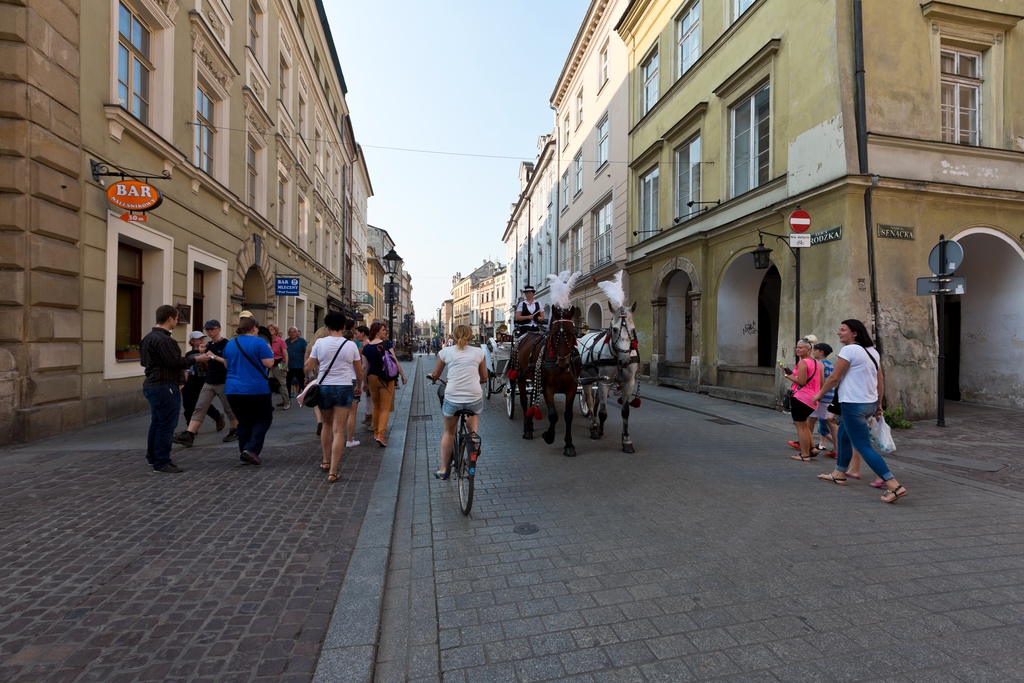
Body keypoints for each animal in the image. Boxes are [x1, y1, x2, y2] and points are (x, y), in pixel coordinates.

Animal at [509, 307, 577, 456]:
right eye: (554, 334)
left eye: (572, 333)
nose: (563, 365)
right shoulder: (548, 388)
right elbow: (553, 415)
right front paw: (549, 436)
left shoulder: (572, 388)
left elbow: (568, 415)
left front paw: (569, 444)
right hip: (520, 376)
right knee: (523, 400)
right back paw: (527, 428)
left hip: (535, 377)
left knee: (532, 399)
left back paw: (530, 422)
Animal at [581, 303, 634, 454]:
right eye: (614, 329)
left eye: (633, 330)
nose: (625, 361)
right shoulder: (604, 382)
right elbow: (603, 412)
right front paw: (598, 431)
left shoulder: (628, 383)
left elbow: (625, 412)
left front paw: (626, 439)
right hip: (586, 379)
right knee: (590, 400)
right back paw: (593, 424)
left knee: (596, 399)